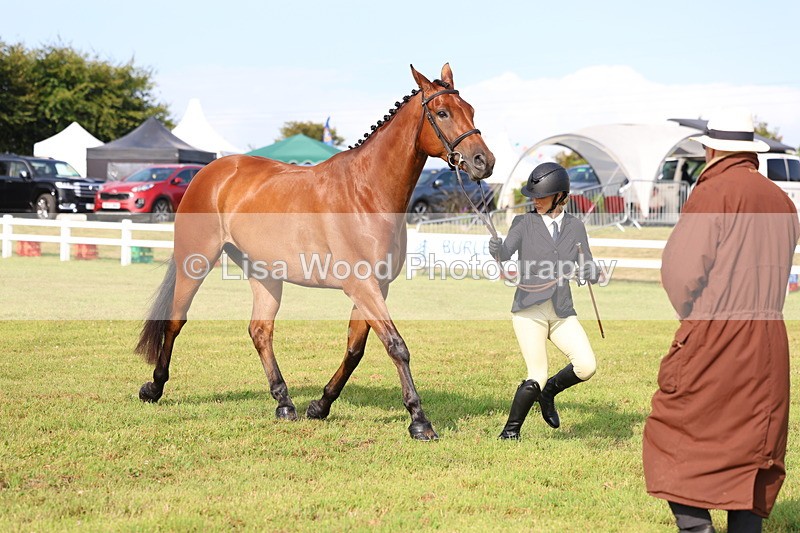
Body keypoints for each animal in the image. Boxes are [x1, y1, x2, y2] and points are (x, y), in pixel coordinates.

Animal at [135, 63, 495, 440]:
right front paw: (420, 420)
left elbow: (355, 349)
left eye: (470, 110)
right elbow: (396, 346)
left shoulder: (375, 288)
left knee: (260, 331)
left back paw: (284, 402)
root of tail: (209, 173)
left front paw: (320, 406)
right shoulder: (362, 286)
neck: (367, 192)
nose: (483, 162)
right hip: (195, 262)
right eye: (442, 113)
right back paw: (154, 388)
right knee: (175, 321)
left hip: (264, 274)